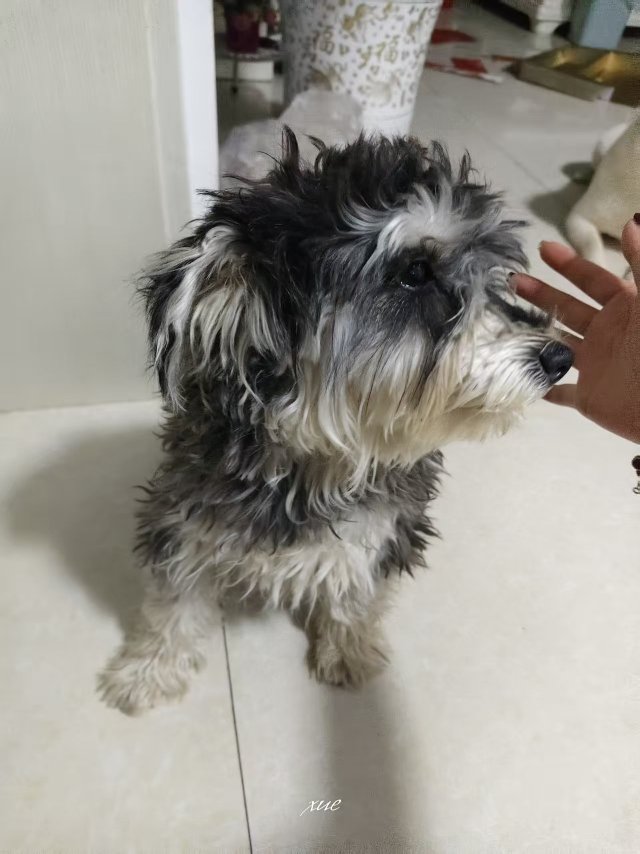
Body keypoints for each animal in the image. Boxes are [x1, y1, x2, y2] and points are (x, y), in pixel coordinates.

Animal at [98, 130, 573, 714]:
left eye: (494, 273)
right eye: (414, 273)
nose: (560, 357)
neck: (311, 462)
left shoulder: (388, 527)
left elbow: (358, 591)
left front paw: (349, 652)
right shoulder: (182, 521)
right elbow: (171, 604)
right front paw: (146, 673)